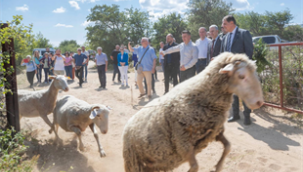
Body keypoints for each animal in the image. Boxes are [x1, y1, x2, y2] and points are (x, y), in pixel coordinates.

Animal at [122, 52, 264, 172]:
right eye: (242, 76)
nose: (259, 102)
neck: (201, 97)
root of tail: (128, 124)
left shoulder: (214, 132)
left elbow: (228, 146)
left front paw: (218, 167)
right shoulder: (183, 143)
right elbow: (195, 166)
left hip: (152, 164)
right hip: (134, 161)